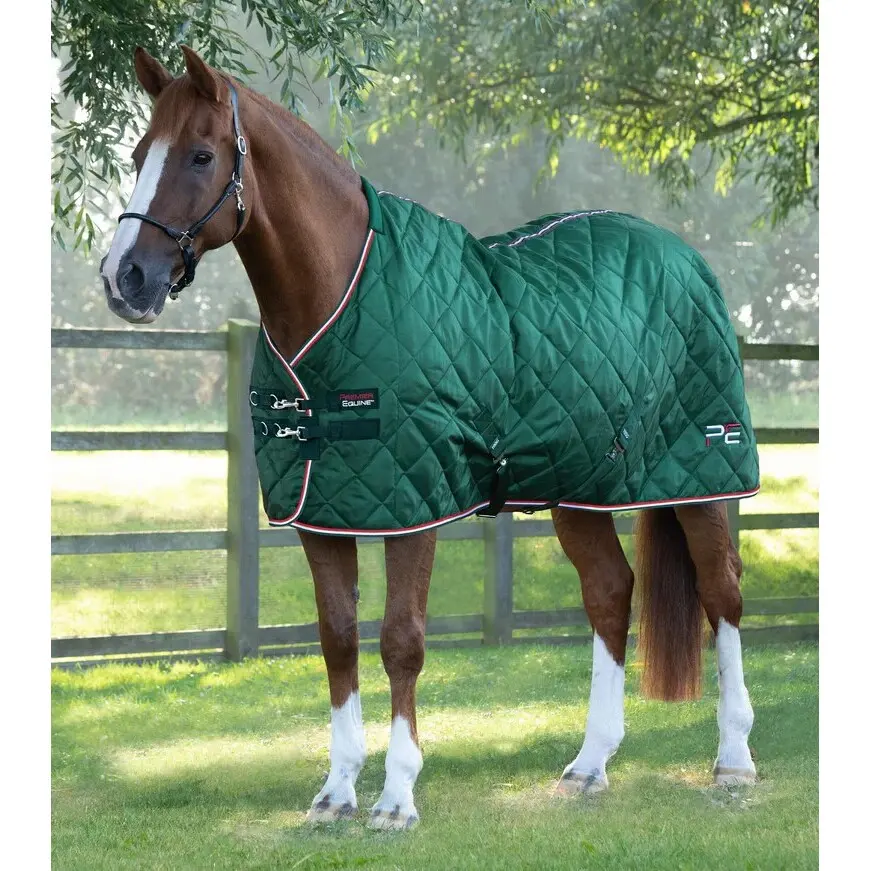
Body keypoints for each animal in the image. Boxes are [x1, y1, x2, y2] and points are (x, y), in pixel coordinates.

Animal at [98, 46, 758, 830]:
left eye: (200, 155)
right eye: (138, 153)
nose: (124, 277)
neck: (341, 298)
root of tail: (683, 257)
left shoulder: (414, 505)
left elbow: (400, 641)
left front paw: (396, 797)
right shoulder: (322, 513)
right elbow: (338, 639)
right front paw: (335, 792)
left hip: (702, 471)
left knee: (721, 593)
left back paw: (733, 760)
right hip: (578, 487)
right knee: (608, 591)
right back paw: (589, 764)